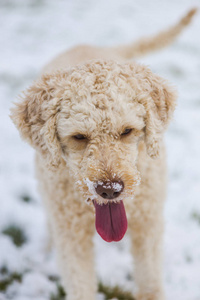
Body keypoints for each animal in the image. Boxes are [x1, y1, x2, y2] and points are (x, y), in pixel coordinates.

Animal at [10, 8, 197, 300]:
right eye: (78, 137)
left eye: (127, 131)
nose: (109, 190)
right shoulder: (72, 238)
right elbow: (79, 284)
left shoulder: (149, 225)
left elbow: (150, 282)